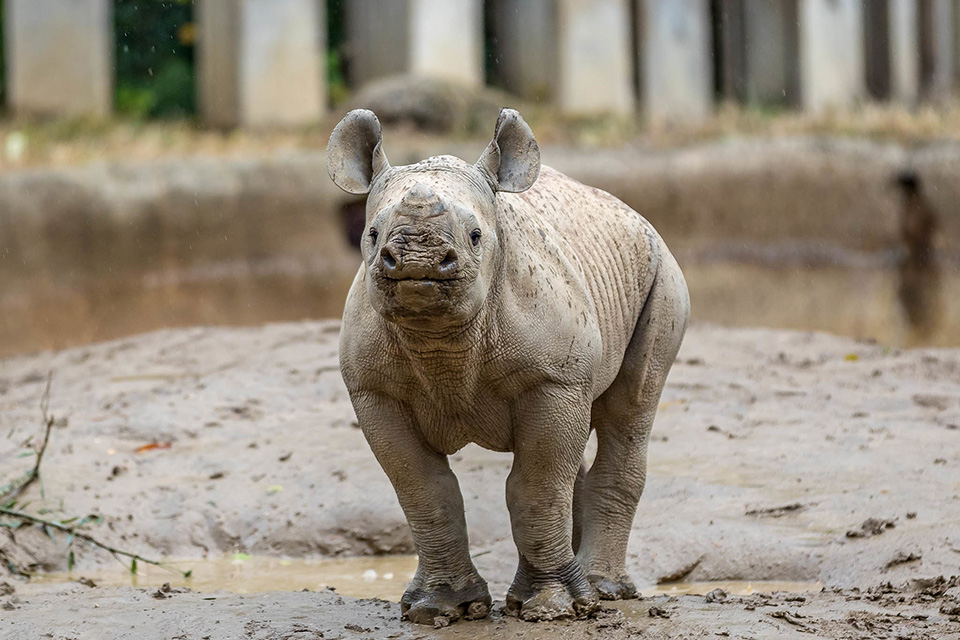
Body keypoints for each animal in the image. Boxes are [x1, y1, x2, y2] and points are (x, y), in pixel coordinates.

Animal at [330, 109, 688, 624]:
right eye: (372, 235)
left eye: (476, 236)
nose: (418, 259)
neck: (441, 343)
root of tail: (629, 211)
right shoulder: (374, 390)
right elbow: (424, 489)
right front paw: (439, 609)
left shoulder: (554, 379)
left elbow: (535, 484)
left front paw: (552, 606)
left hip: (661, 273)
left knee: (629, 412)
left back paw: (602, 590)